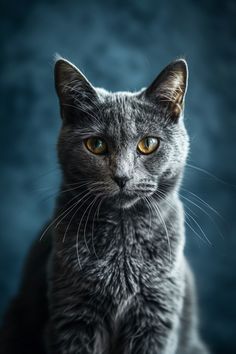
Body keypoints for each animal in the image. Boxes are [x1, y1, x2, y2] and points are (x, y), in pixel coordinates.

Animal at [0, 56, 210, 352]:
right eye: (96, 145)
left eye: (148, 143)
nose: (122, 176)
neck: (122, 245)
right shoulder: (72, 317)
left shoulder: (156, 320)